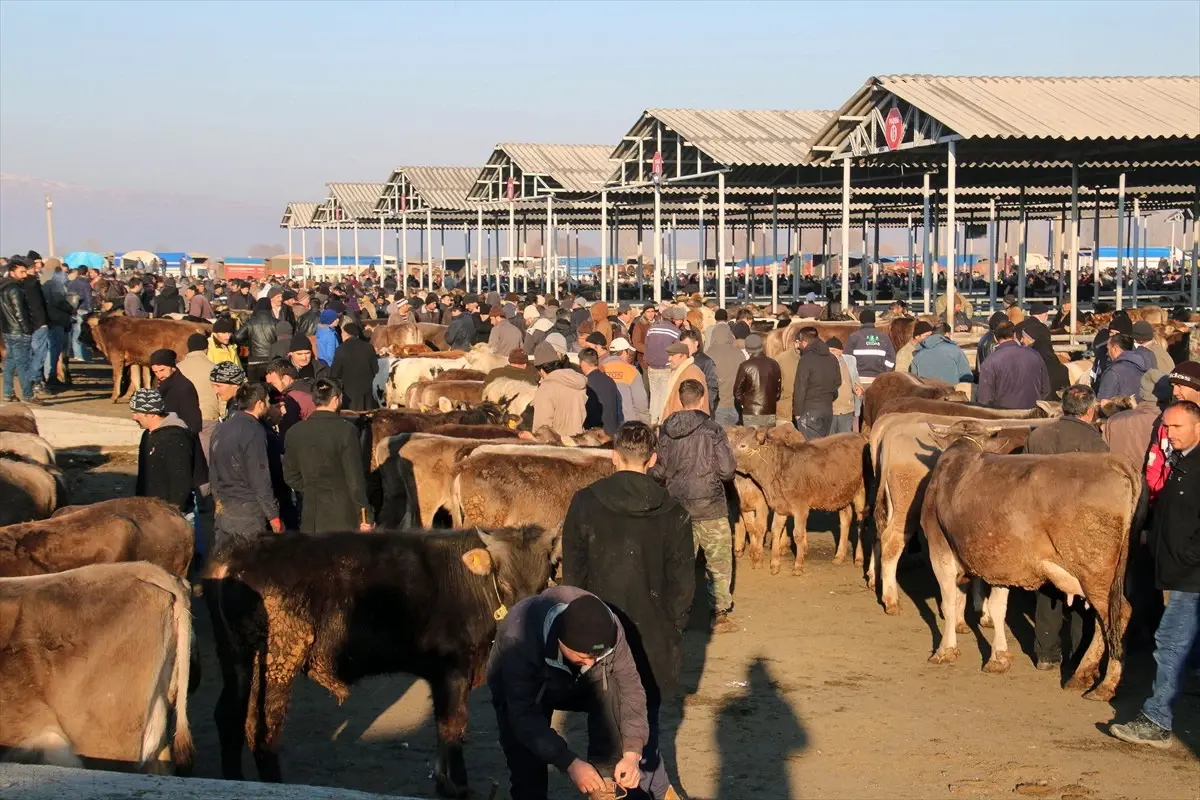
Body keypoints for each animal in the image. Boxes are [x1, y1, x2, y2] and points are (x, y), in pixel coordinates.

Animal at [204, 525, 559, 796]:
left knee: (229, 718)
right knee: (264, 726)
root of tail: (239, 552)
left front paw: (443, 780)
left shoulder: (440, 675)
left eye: (543, 582)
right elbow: (453, 726)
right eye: (505, 582)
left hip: (238, 661)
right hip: (278, 661)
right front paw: (458, 786)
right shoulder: (453, 668)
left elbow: (441, 726)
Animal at [720, 431, 864, 575]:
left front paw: (798, 566)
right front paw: (775, 564)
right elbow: (775, 531)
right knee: (846, 518)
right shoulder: (780, 505)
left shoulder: (800, 508)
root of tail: (862, 436)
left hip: (861, 494)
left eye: (743, 445)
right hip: (842, 494)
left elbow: (798, 534)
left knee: (861, 523)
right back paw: (839, 556)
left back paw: (859, 558)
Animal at [916, 431, 1142, 700]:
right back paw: (1081, 675)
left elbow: (949, 602)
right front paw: (999, 657)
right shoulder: (1000, 564)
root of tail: (1115, 461)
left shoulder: (939, 550)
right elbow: (998, 608)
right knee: (1103, 620)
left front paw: (945, 650)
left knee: (1118, 614)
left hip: (1095, 574)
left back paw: (1105, 685)